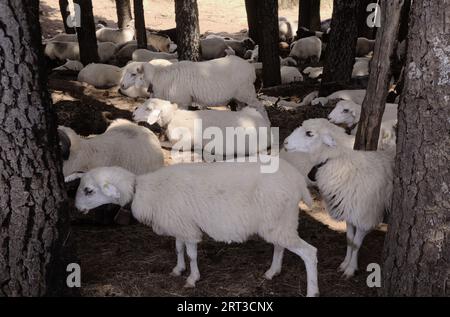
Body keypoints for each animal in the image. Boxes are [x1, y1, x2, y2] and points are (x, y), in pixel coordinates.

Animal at [74, 160, 318, 296]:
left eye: (89, 190)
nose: (76, 208)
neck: (140, 189)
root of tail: (298, 180)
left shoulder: (187, 228)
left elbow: (191, 254)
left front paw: (192, 278)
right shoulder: (180, 223)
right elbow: (178, 248)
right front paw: (178, 269)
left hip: (279, 221)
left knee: (309, 253)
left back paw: (312, 291)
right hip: (279, 220)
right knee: (279, 245)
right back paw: (272, 272)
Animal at [121, 55, 266, 115]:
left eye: (133, 74)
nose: (121, 85)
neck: (159, 77)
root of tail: (250, 67)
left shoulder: (183, 101)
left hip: (247, 92)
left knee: (261, 107)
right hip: (239, 97)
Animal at [284, 118, 394, 276]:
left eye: (309, 133)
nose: (285, 142)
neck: (341, 164)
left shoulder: (365, 216)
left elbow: (356, 244)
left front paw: (351, 269)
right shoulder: (348, 211)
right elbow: (349, 240)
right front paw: (344, 264)